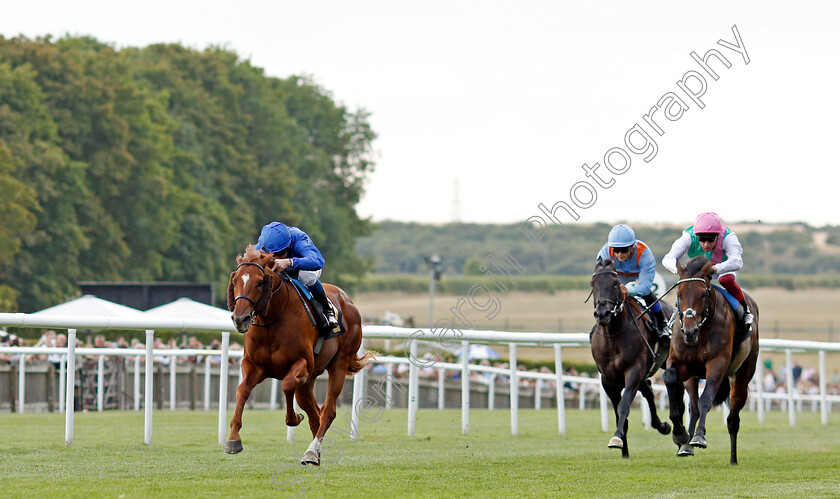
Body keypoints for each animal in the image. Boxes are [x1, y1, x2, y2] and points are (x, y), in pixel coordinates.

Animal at [225, 246, 372, 464]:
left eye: (259, 282)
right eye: (235, 281)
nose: (240, 318)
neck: (273, 320)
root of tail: (347, 300)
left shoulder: (302, 364)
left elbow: (286, 385)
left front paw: (293, 418)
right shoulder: (253, 365)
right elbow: (242, 390)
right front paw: (233, 439)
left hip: (339, 364)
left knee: (327, 411)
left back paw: (311, 452)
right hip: (309, 380)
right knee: (314, 413)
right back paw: (316, 452)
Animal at [592, 260, 676, 458]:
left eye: (615, 284)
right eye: (593, 284)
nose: (602, 313)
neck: (614, 335)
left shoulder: (634, 370)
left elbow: (624, 406)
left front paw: (617, 439)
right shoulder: (608, 379)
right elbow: (618, 411)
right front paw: (623, 448)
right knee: (649, 391)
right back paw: (661, 425)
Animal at [668, 256, 756, 466]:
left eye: (703, 294)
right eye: (679, 294)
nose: (689, 331)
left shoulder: (718, 363)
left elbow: (706, 399)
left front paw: (699, 436)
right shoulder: (680, 362)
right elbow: (669, 379)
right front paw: (679, 434)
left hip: (741, 377)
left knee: (733, 419)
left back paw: (733, 459)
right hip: (692, 377)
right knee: (693, 406)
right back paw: (685, 446)